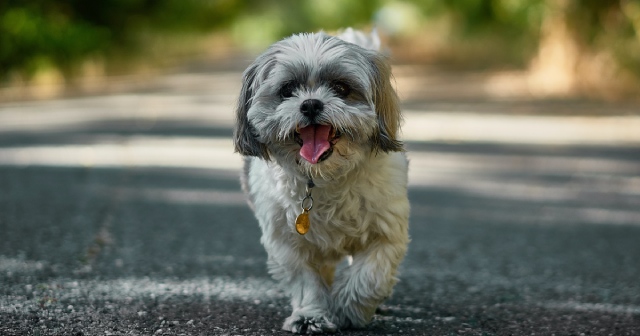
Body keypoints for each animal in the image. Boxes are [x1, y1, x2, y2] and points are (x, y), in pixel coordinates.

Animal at [234, 28, 410, 334]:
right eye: (287, 90)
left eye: (341, 88)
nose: (311, 104)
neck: (323, 178)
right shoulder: (288, 242)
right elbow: (306, 282)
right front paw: (310, 315)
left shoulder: (385, 232)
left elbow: (370, 276)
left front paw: (349, 309)